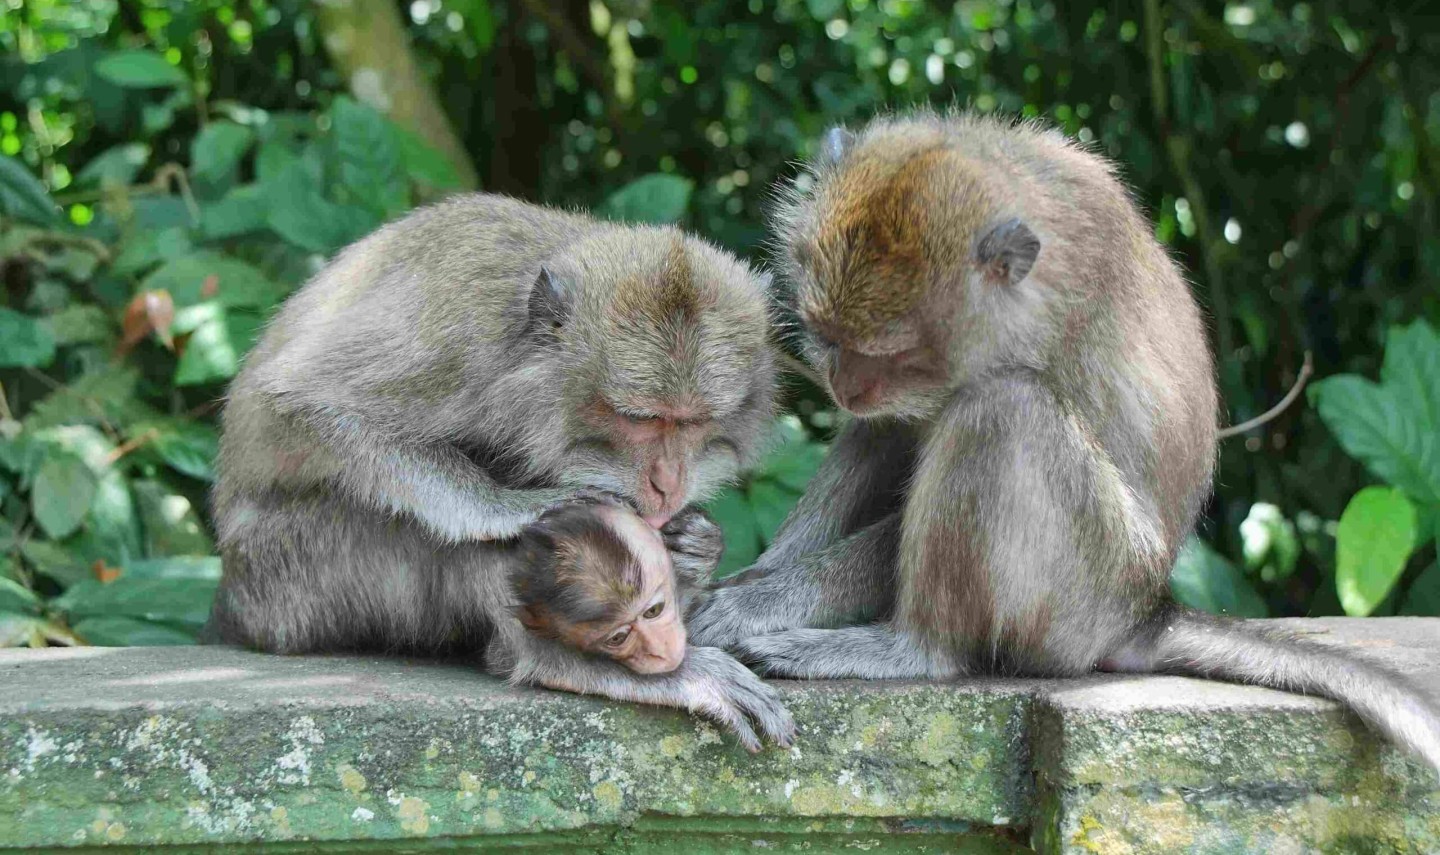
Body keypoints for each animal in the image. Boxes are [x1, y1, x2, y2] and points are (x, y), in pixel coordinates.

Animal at [207, 193, 794, 751]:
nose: (667, 483)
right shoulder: (455, 336)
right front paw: (507, 507)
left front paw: (697, 543)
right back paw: (558, 661)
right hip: (291, 580)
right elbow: (304, 402)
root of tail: (237, 608)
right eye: (642, 419)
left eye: (694, 422)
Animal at [687, 111, 1440, 774]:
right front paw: (737, 577)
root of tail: (1144, 611)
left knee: (1003, 411)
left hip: (1083, 592)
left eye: (892, 354)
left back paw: (913, 649)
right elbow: (888, 432)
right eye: (827, 335)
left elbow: (966, 417)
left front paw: (755, 602)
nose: (844, 386)